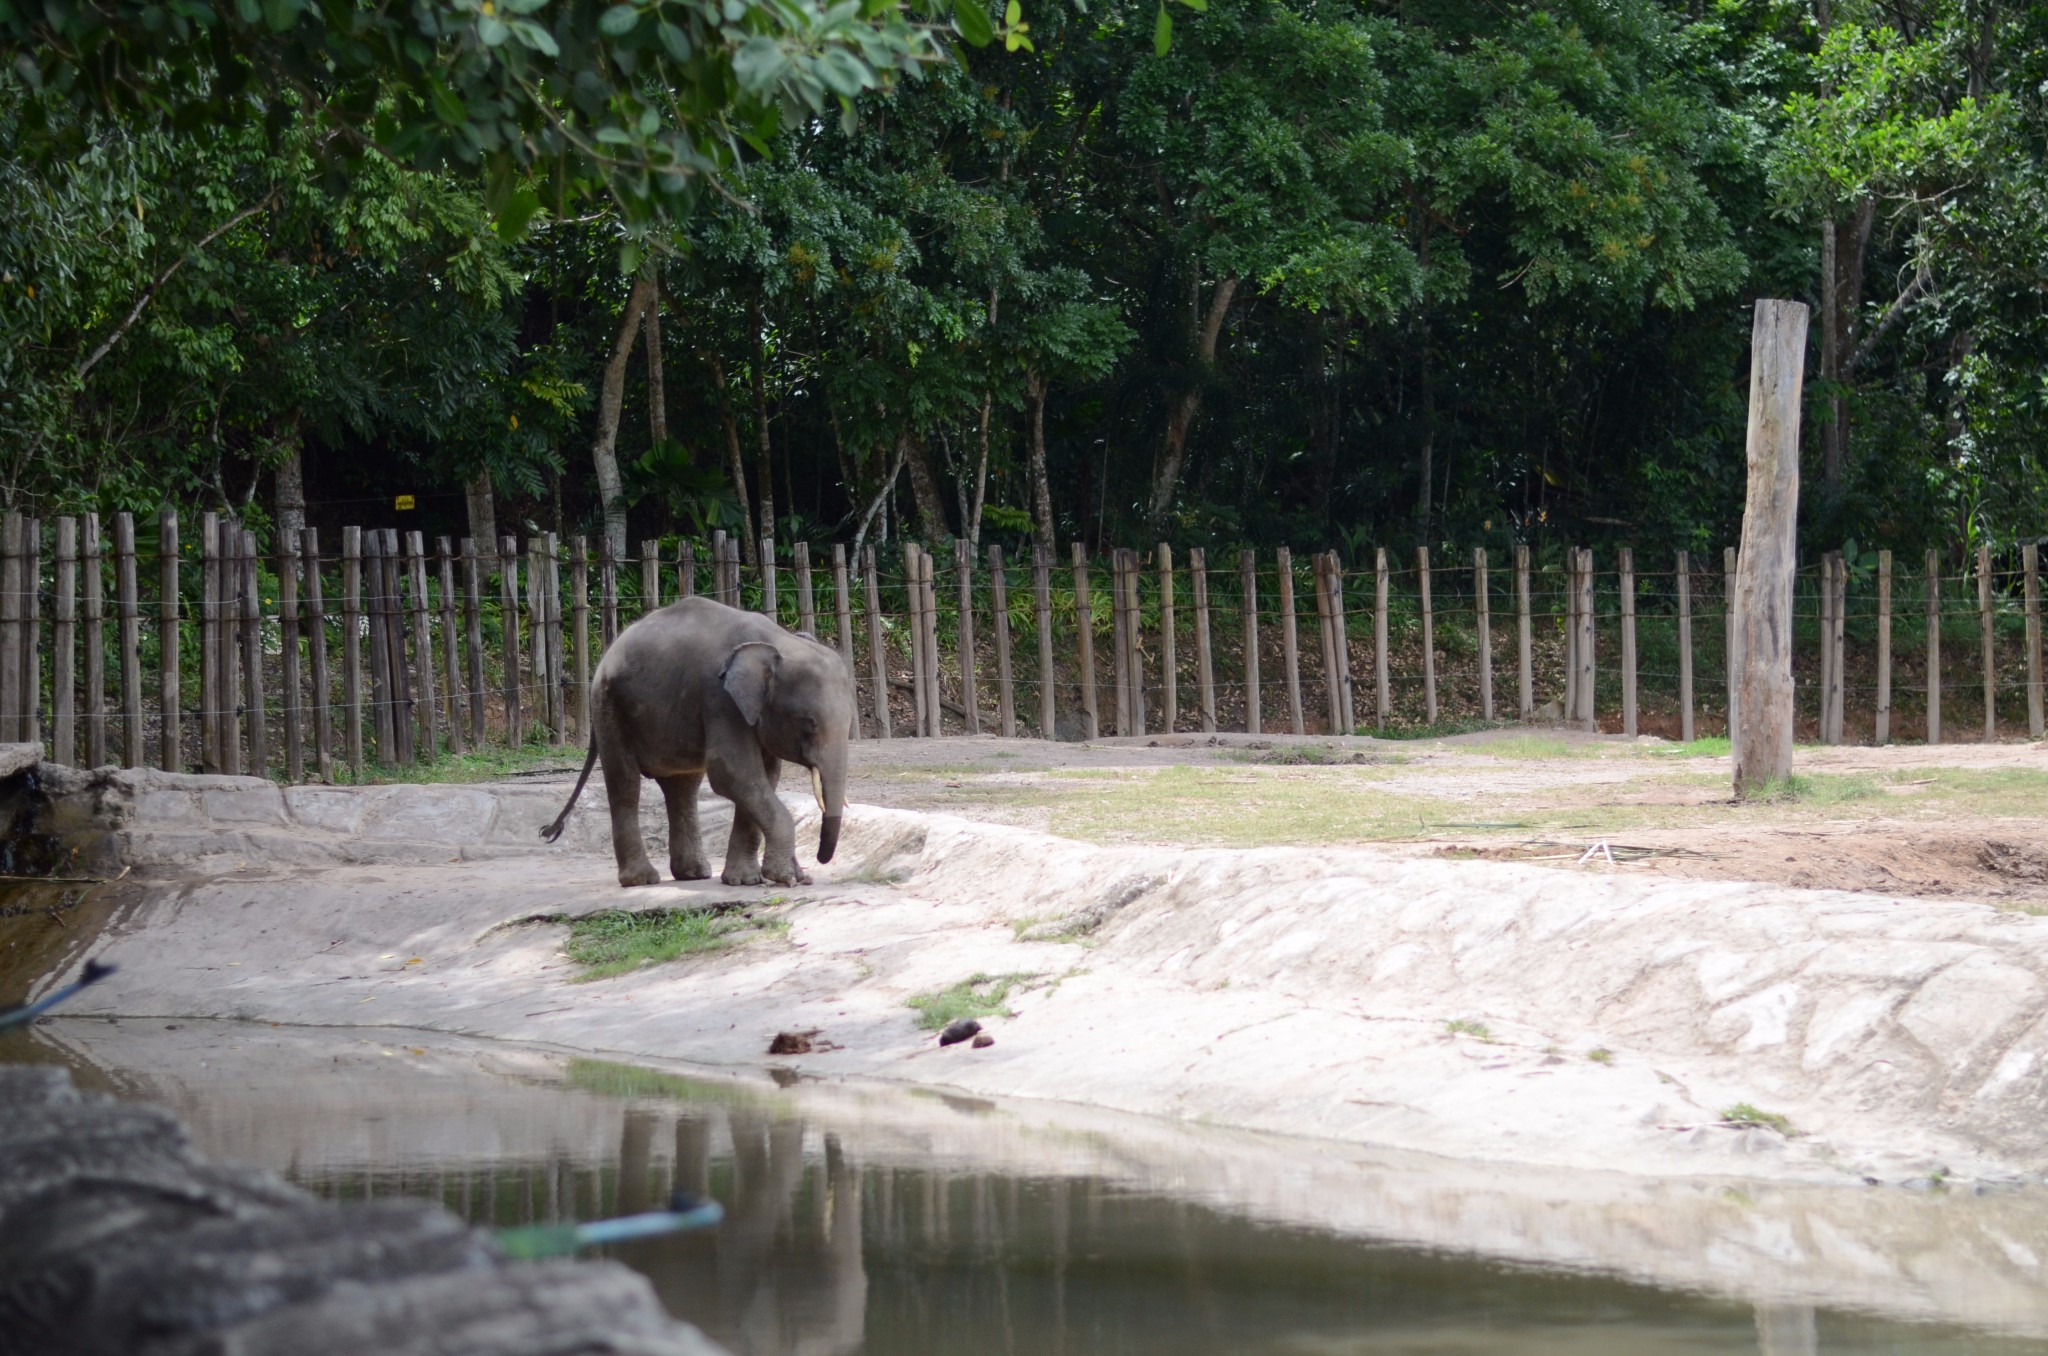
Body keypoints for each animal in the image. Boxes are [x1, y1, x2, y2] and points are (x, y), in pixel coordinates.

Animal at [540, 602, 851, 888]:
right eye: (809, 722)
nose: (820, 860)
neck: (777, 640)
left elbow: (764, 776)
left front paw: (747, 881)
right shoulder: (720, 699)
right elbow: (733, 772)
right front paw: (784, 878)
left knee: (683, 788)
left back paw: (693, 874)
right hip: (609, 708)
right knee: (626, 784)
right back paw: (642, 880)